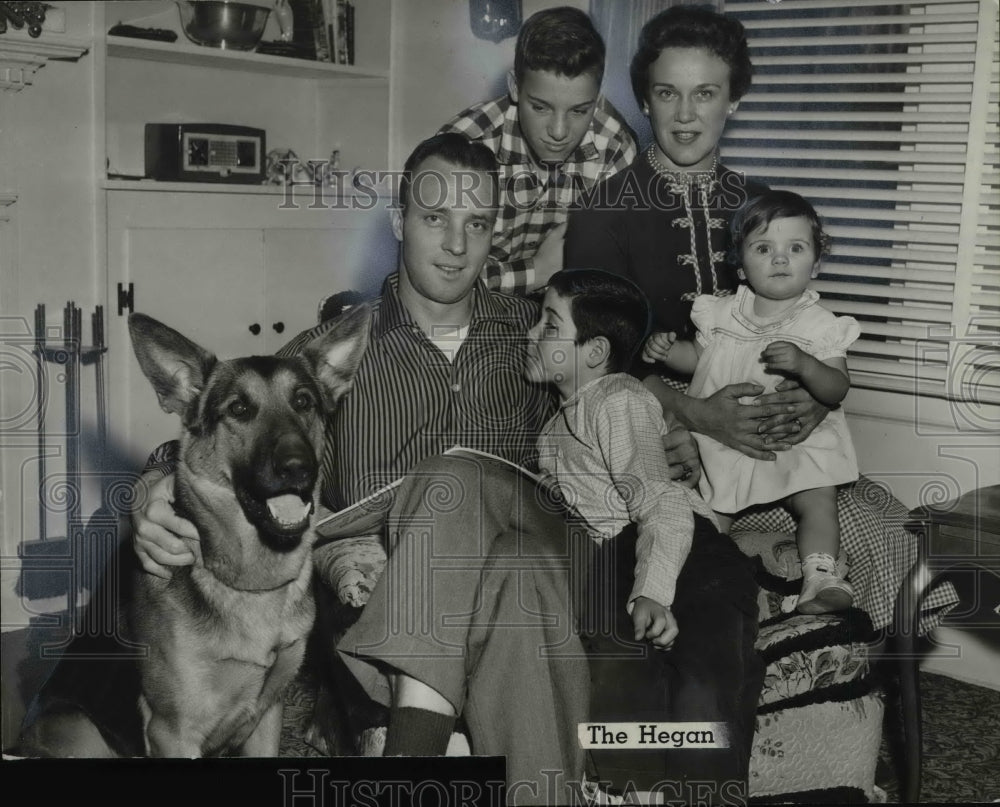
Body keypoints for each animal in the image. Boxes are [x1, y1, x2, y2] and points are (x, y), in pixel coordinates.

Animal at [17, 306, 372, 760]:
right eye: (239, 409)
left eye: (303, 402)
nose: (299, 468)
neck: (250, 581)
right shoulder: (172, 733)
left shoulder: (269, 716)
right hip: (80, 731)